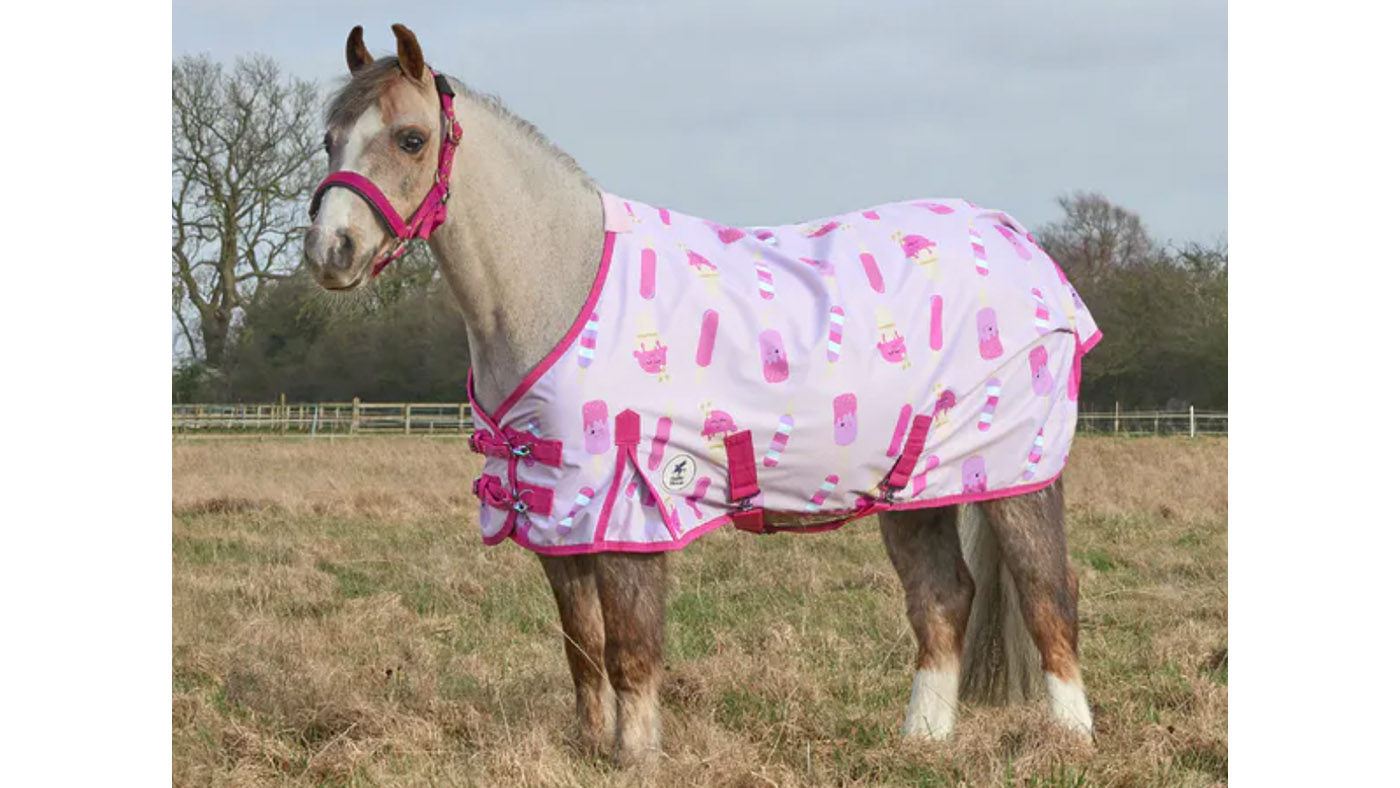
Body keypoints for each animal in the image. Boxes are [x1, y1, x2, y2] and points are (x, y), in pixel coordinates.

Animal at [303, 24, 1097, 768]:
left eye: (410, 139)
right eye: (329, 139)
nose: (330, 252)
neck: (560, 287)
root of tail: (1014, 237)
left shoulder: (629, 505)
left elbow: (629, 649)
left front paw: (636, 757)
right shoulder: (557, 513)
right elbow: (581, 646)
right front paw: (591, 748)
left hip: (1018, 475)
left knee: (1048, 598)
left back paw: (1069, 743)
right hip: (912, 490)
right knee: (942, 600)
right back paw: (921, 744)